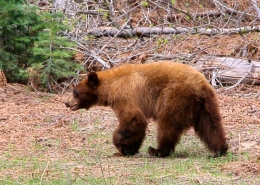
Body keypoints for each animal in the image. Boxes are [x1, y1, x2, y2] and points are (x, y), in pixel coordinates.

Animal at [64, 61, 228, 158]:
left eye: (75, 92)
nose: (66, 102)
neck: (110, 86)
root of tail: (201, 86)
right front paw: (131, 148)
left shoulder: (125, 95)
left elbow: (133, 118)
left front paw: (122, 147)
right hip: (206, 105)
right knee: (211, 126)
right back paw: (220, 150)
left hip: (174, 97)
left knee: (168, 124)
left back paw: (157, 150)